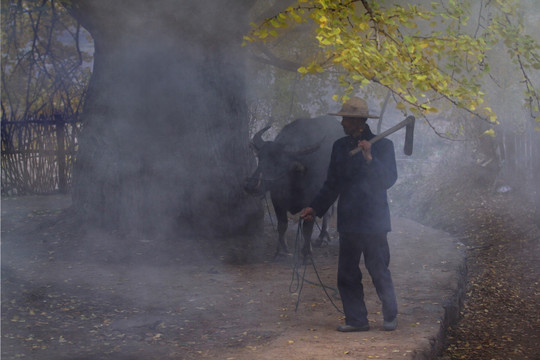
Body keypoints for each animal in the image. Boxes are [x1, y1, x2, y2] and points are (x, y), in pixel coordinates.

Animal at [244, 116, 342, 260]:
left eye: (279, 162)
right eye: (259, 157)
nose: (251, 185)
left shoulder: (312, 200)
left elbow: (307, 228)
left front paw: (307, 253)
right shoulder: (277, 200)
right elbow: (282, 224)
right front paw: (281, 250)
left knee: (328, 213)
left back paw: (321, 239)